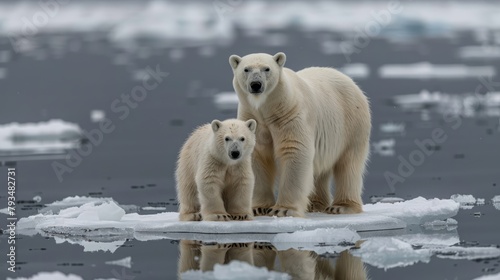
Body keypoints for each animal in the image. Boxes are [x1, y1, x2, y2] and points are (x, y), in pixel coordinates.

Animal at [229, 53, 370, 219]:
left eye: (267, 69)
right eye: (246, 69)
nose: (256, 84)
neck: (268, 109)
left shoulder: (290, 115)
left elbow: (294, 150)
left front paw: (283, 210)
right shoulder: (253, 118)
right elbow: (257, 155)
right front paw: (259, 208)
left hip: (352, 125)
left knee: (348, 165)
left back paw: (341, 206)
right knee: (320, 170)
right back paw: (315, 204)